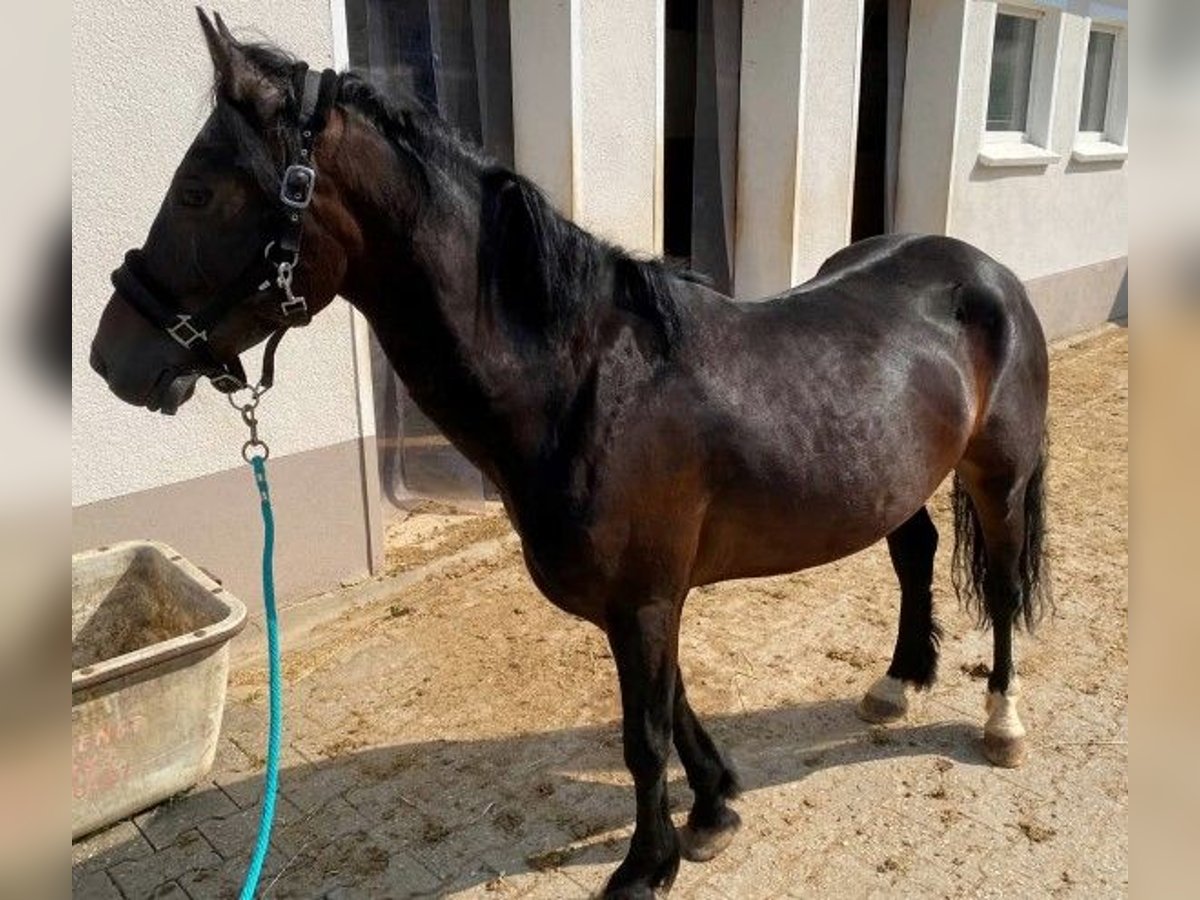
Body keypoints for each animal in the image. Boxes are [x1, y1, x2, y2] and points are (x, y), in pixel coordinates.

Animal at [88, 12, 1046, 897]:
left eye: (198, 192)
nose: (109, 359)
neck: (583, 382)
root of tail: (983, 269)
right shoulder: (647, 599)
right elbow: (674, 705)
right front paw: (714, 808)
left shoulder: (646, 599)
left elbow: (644, 735)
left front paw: (646, 864)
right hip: (899, 480)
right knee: (916, 554)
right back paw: (898, 682)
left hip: (998, 478)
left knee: (1000, 584)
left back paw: (1001, 722)